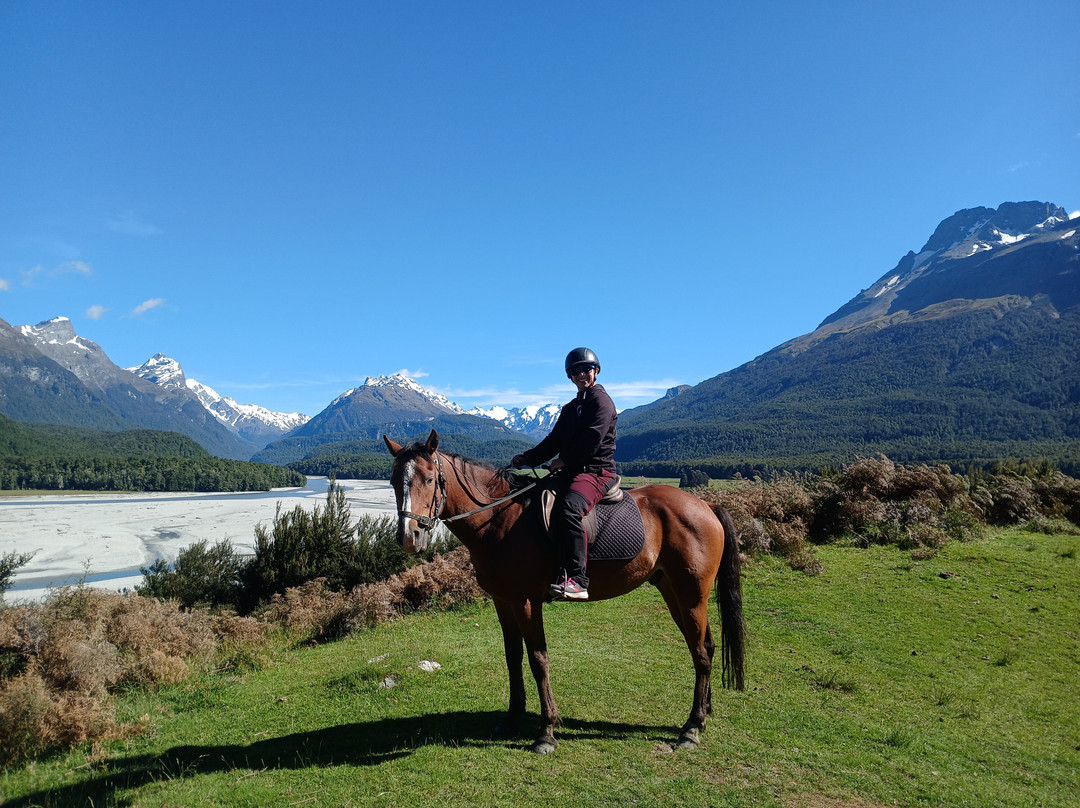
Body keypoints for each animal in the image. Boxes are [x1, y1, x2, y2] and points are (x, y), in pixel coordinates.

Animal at [383, 429, 745, 754]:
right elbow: (513, 656)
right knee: (705, 646)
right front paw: (512, 717)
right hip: (675, 592)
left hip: (692, 594)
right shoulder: (503, 600)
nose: (408, 537)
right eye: (393, 481)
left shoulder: (526, 601)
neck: (498, 519)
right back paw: (703, 712)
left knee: (701, 652)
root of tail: (706, 505)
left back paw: (691, 729)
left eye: (430, 479)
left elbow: (538, 659)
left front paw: (546, 732)